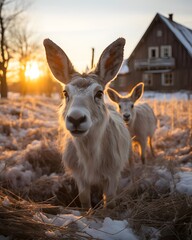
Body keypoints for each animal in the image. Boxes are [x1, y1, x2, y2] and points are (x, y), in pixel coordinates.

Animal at [43, 38, 131, 209]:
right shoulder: (80, 177)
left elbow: (109, 202)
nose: (76, 118)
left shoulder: (113, 175)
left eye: (99, 93)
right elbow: (84, 202)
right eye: (65, 93)